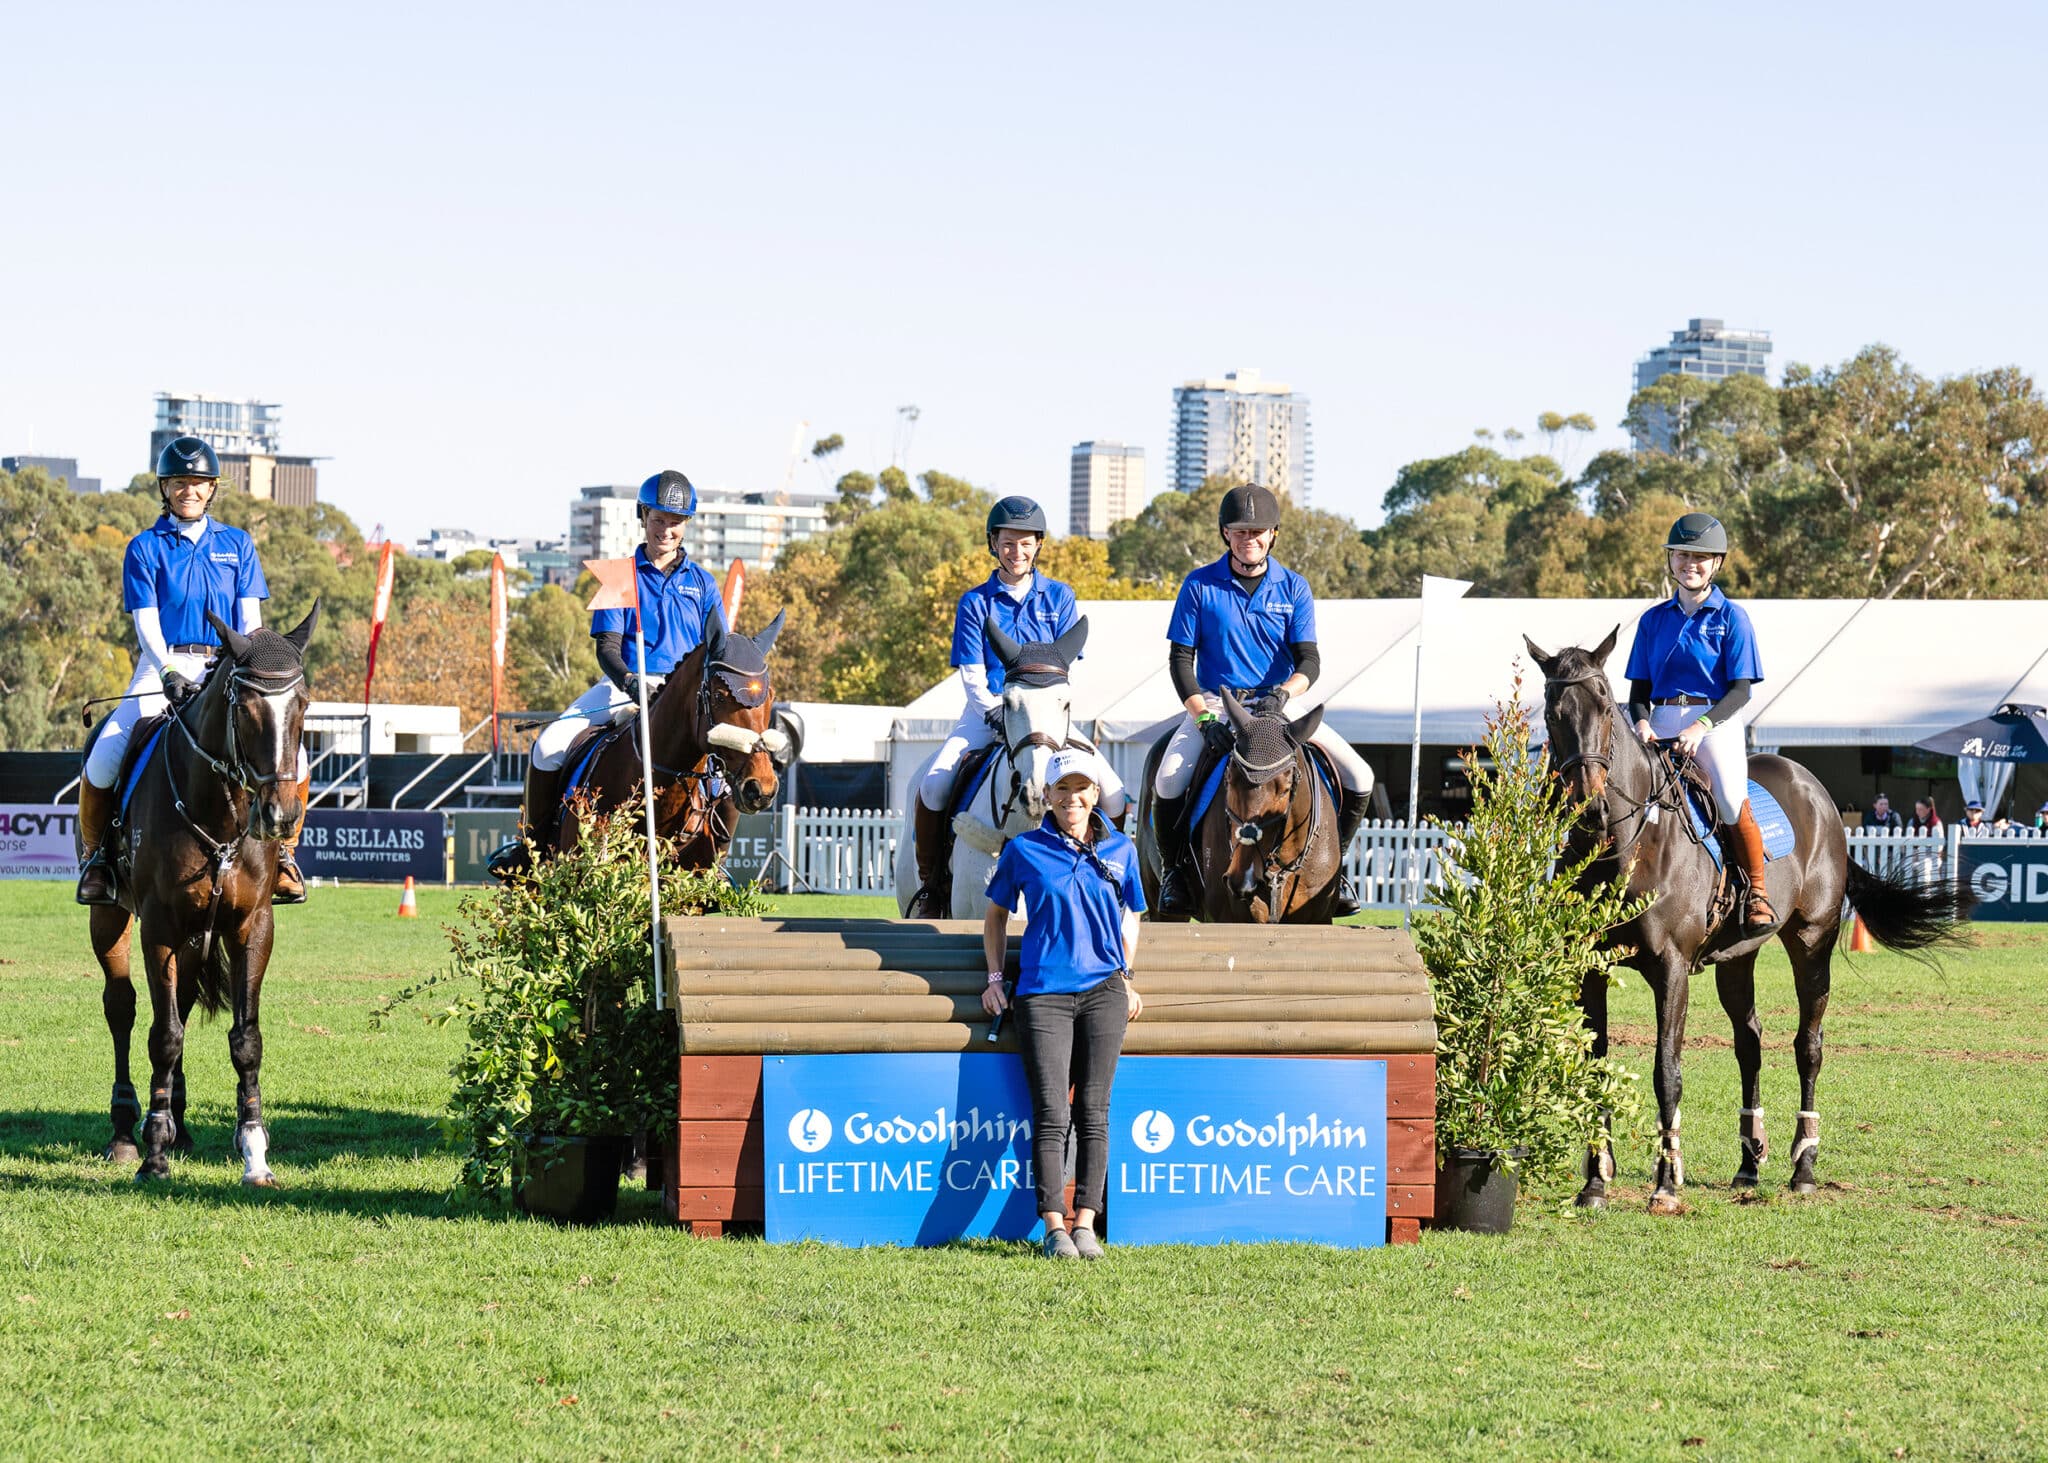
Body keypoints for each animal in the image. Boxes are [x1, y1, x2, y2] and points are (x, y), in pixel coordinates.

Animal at [87, 598, 319, 1180]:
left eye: (302, 704)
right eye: (247, 707)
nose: (280, 817)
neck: (219, 809)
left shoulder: (252, 926)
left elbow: (245, 1039)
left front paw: (254, 1151)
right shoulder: (160, 929)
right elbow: (163, 1036)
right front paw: (153, 1155)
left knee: (185, 1003)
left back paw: (180, 1125)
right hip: (112, 917)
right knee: (122, 1007)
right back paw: (127, 1130)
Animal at [1531, 627, 1957, 1204]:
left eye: (1603, 704)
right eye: (1553, 711)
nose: (1592, 808)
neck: (1625, 846)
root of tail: (1813, 787)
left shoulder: (1670, 970)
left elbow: (1667, 1070)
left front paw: (1666, 1183)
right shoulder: (1590, 971)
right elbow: (1596, 1068)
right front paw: (1596, 1181)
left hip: (1812, 942)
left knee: (1808, 1046)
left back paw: (1804, 1166)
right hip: (1737, 957)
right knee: (1749, 1042)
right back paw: (1749, 1162)